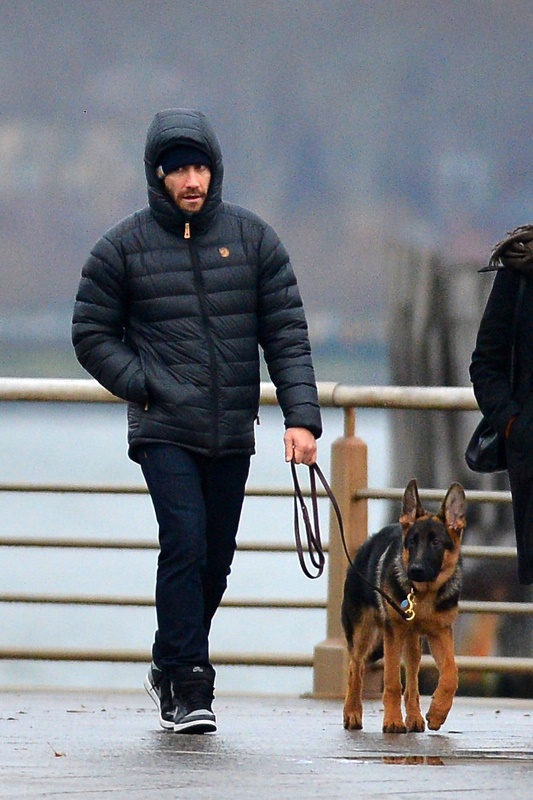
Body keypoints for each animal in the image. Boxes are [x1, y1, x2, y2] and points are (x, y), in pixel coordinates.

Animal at [342, 478, 464, 736]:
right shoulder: (394, 633)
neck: (424, 594)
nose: (414, 570)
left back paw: (415, 717)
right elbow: (391, 682)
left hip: (413, 643)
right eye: (412, 543)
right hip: (363, 634)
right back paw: (353, 713)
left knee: (413, 678)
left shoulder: (440, 634)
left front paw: (438, 713)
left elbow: (451, 673)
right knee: (355, 666)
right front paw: (392, 720)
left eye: (435, 543)